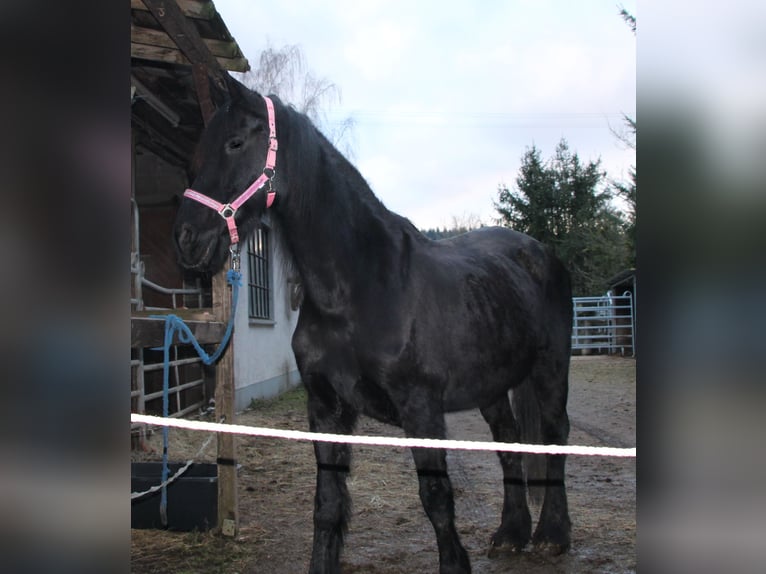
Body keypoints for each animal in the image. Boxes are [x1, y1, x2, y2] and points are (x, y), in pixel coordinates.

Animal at [174, 77, 568, 574]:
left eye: (235, 143)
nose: (187, 240)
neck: (358, 288)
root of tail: (538, 252)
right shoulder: (326, 407)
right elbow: (327, 504)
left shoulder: (421, 408)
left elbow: (436, 497)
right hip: (493, 386)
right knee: (509, 442)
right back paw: (511, 534)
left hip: (550, 368)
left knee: (555, 436)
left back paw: (552, 535)